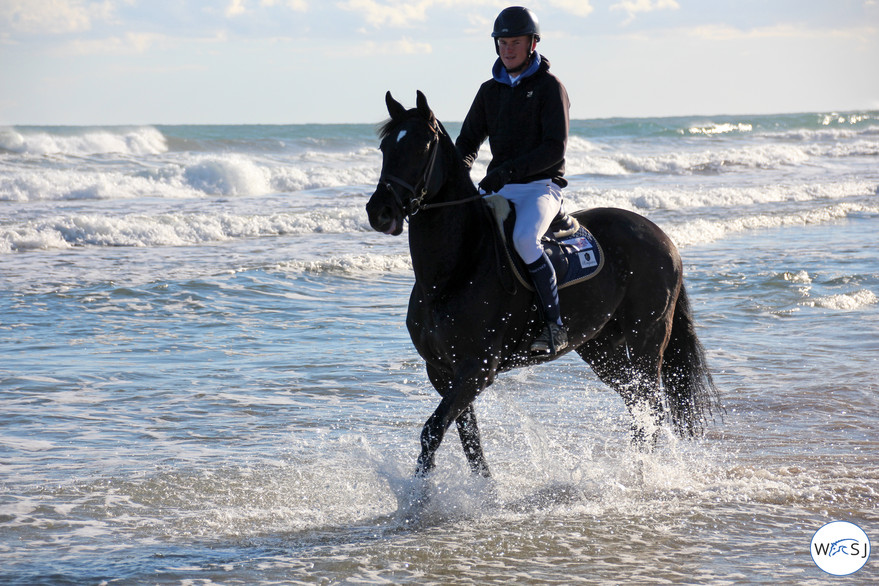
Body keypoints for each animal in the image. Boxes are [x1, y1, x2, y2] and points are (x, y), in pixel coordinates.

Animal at [364, 89, 720, 476]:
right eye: (385, 148)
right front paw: (482, 488)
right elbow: (468, 440)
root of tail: (663, 238)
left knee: (650, 406)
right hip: (601, 347)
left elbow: (434, 430)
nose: (379, 211)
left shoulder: (477, 369)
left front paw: (419, 491)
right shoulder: (443, 372)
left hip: (647, 338)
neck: (457, 268)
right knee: (636, 402)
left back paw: (640, 473)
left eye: (421, 147)